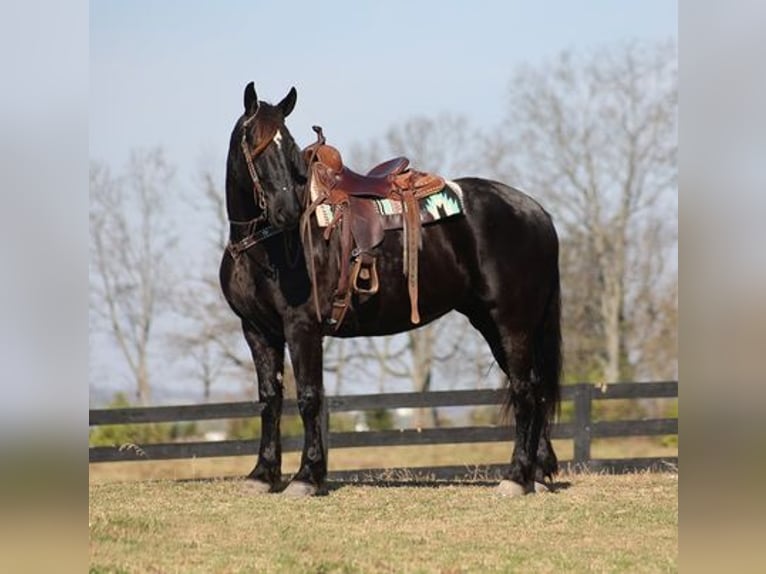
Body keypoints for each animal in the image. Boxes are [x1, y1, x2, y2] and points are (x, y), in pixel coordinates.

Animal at [222, 83, 564, 498]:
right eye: (253, 142)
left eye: (286, 145)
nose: (287, 211)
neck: (263, 245)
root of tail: (537, 212)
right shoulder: (258, 331)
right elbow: (270, 399)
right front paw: (262, 474)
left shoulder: (302, 328)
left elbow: (308, 397)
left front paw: (306, 476)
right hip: (493, 323)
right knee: (534, 387)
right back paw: (537, 473)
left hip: (512, 322)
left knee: (524, 391)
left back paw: (516, 476)